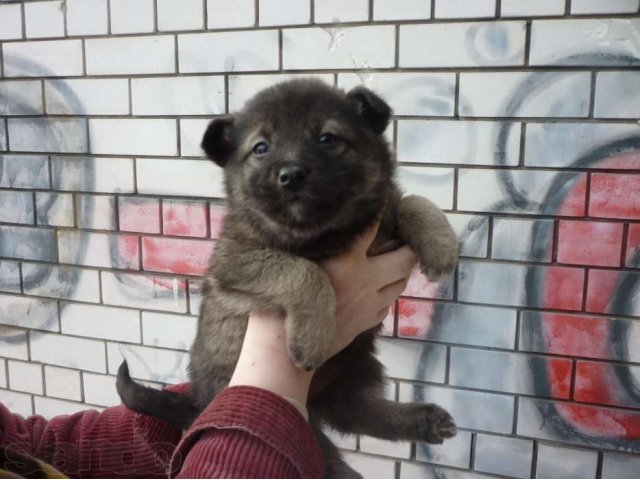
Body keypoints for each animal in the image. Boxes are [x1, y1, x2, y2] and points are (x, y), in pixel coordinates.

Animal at [117, 78, 460, 476]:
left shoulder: (381, 218)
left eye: (327, 138)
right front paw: (311, 338)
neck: (327, 233)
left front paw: (441, 245)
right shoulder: (236, 261)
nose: (292, 175)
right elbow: (303, 271)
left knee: (361, 412)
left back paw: (423, 419)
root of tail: (198, 403)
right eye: (261, 148)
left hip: (353, 370)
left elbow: (411, 201)